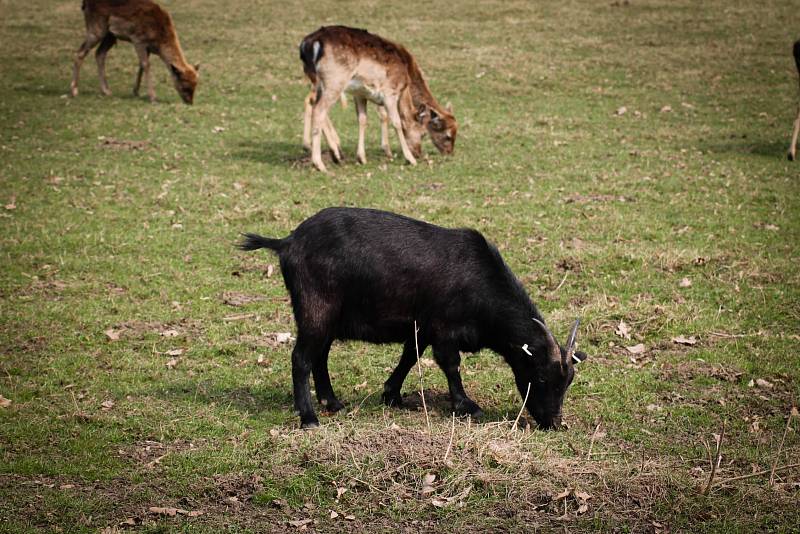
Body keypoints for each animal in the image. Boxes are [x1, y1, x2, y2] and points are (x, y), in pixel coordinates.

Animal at [70, 0, 198, 104]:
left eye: (196, 84)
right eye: (184, 85)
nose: (190, 102)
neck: (159, 42)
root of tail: (85, 3)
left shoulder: (147, 48)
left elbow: (141, 64)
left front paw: (136, 92)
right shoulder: (138, 40)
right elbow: (146, 65)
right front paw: (153, 98)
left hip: (110, 35)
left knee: (99, 53)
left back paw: (106, 91)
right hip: (96, 28)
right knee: (80, 52)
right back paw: (74, 91)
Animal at [238, 208, 588, 432]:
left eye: (568, 381)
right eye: (540, 377)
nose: (553, 423)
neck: (479, 283)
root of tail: (288, 241)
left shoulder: (422, 326)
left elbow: (411, 356)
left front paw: (392, 395)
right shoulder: (444, 328)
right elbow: (450, 364)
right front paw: (465, 405)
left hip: (329, 318)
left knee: (319, 356)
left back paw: (333, 402)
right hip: (315, 309)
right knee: (301, 358)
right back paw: (309, 418)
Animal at [298, 26, 456, 173]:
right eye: (423, 133)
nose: (418, 153)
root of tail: (309, 44)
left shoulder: (360, 94)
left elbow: (363, 120)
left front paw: (362, 158)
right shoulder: (390, 92)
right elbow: (396, 122)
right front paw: (408, 159)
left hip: (317, 81)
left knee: (315, 105)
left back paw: (334, 154)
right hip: (334, 81)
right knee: (319, 110)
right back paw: (321, 163)